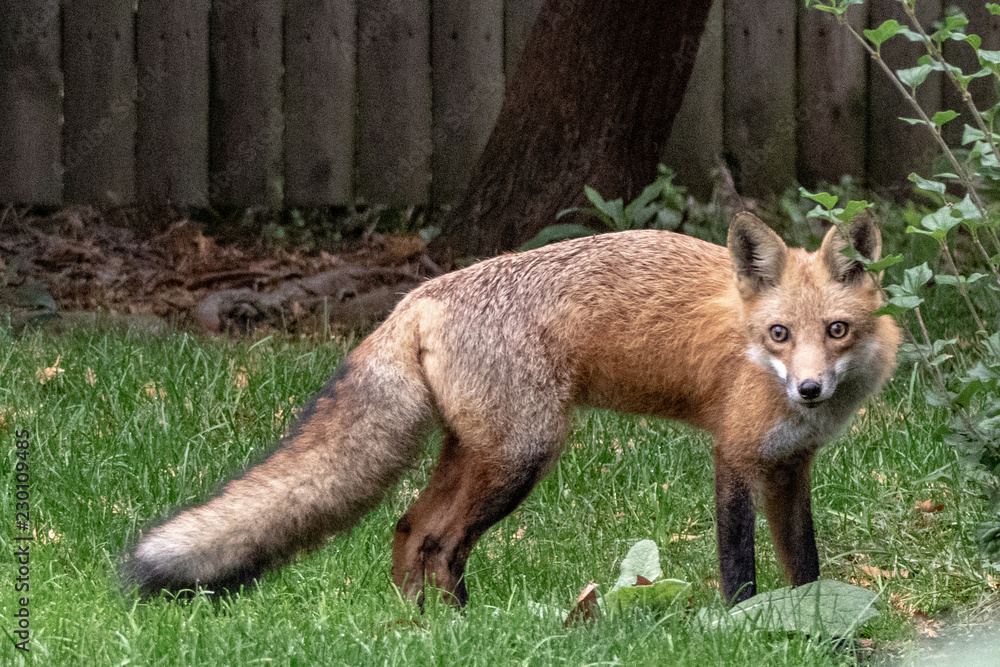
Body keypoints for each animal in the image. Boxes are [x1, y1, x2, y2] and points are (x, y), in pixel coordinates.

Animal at [122, 211, 900, 606]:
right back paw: (461, 628)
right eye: (779, 334)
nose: (808, 390)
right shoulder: (735, 456)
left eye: (836, 330)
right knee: (441, 542)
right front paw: (744, 623)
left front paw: (810, 619)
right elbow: (739, 562)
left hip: (478, 451)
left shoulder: (790, 466)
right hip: (523, 455)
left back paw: (421, 629)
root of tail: (418, 296)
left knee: (409, 530)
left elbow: (805, 565)